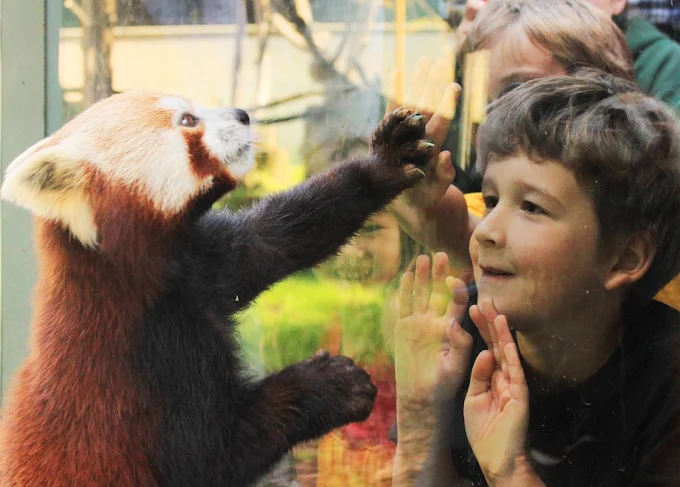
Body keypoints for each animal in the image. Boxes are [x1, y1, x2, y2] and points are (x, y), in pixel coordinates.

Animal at [0, 89, 432, 486]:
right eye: (188, 120)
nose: (241, 114)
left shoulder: (206, 263)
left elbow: (276, 237)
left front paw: (386, 161)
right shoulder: (144, 365)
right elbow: (213, 457)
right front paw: (331, 383)